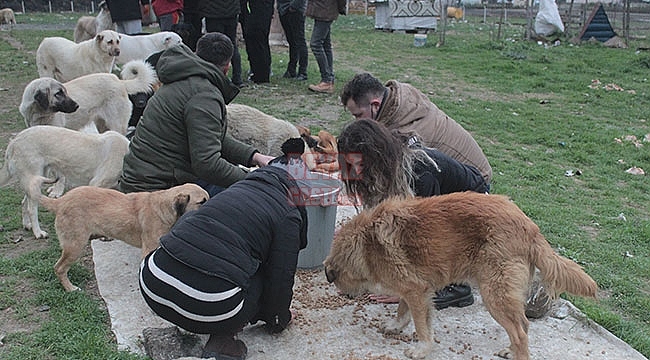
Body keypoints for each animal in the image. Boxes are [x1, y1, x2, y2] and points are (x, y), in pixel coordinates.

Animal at [21, 59, 156, 134]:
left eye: (64, 92)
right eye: (58, 93)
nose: (77, 105)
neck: (39, 115)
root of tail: (119, 81)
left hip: (116, 125)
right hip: (102, 125)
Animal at [39, 184, 208, 292]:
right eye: (202, 202)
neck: (165, 208)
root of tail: (60, 201)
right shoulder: (148, 251)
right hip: (75, 246)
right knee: (59, 268)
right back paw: (70, 288)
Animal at [324, 193, 596, 360]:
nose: (345, 295)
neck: (364, 245)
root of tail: (530, 227)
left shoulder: (416, 291)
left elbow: (421, 325)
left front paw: (422, 349)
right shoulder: (414, 288)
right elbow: (403, 309)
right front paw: (395, 326)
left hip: (493, 293)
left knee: (519, 332)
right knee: (523, 326)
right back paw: (510, 350)